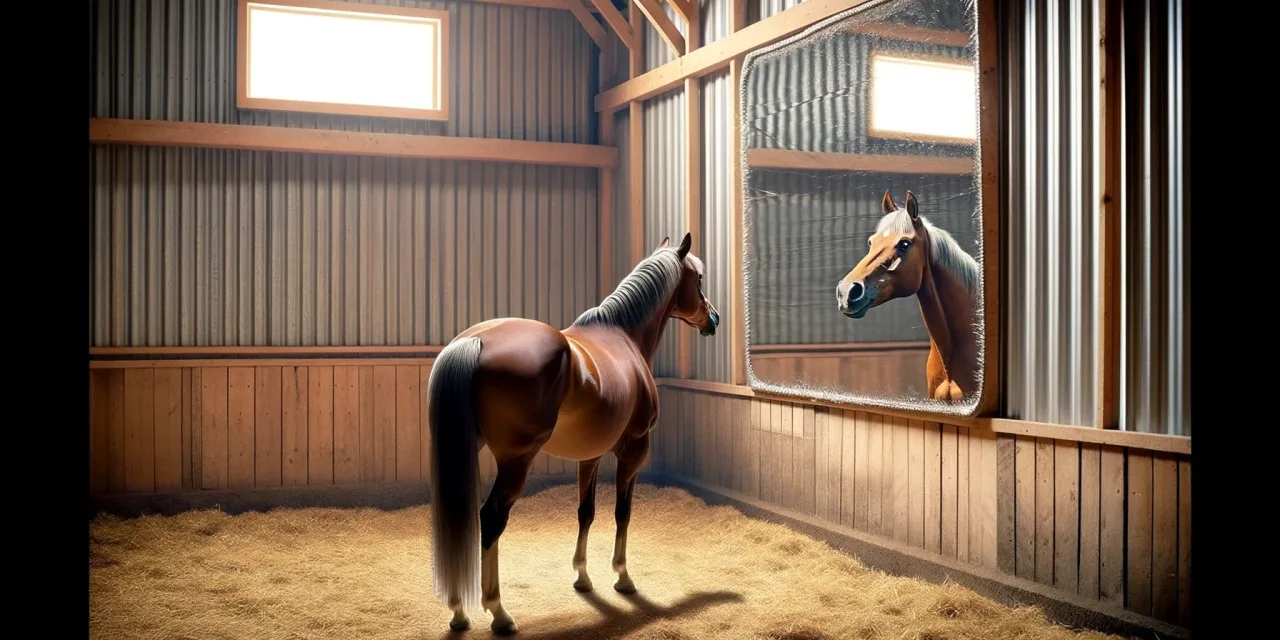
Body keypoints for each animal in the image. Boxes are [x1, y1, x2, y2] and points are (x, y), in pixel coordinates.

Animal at [424, 232, 716, 632]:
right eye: (698, 278)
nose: (713, 318)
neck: (623, 336)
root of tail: (475, 341)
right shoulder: (634, 449)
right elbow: (623, 512)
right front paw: (623, 577)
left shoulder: (589, 455)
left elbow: (586, 511)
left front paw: (582, 577)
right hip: (516, 461)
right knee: (491, 519)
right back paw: (499, 613)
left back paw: (458, 612)